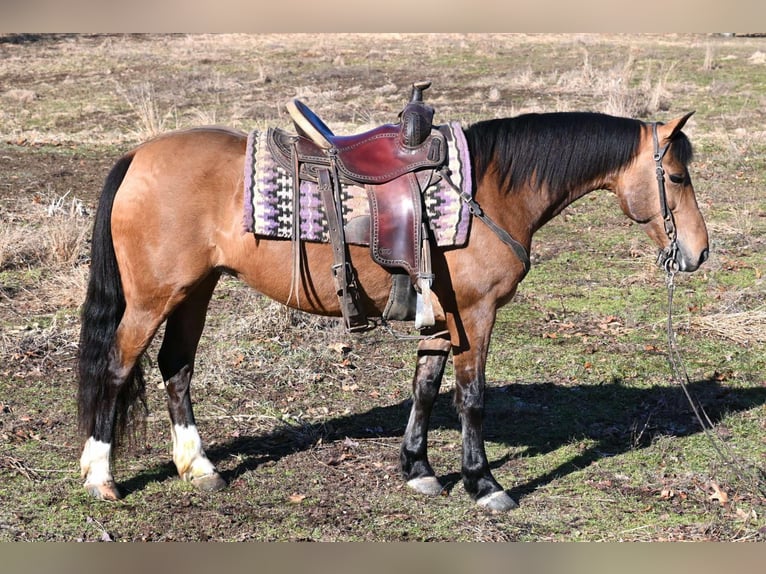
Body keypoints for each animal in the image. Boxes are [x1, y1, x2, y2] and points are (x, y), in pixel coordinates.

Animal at [77, 109, 708, 512]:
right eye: (677, 176)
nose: (699, 252)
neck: (488, 190)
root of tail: (137, 156)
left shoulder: (445, 316)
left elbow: (425, 386)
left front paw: (419, 471)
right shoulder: (476, 314)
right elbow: (471, 398)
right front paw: (483, 483)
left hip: (195, 291)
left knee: (176, 368)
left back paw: (199, 467)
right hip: (153, 299)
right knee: (116, 369)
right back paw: (101, 477)